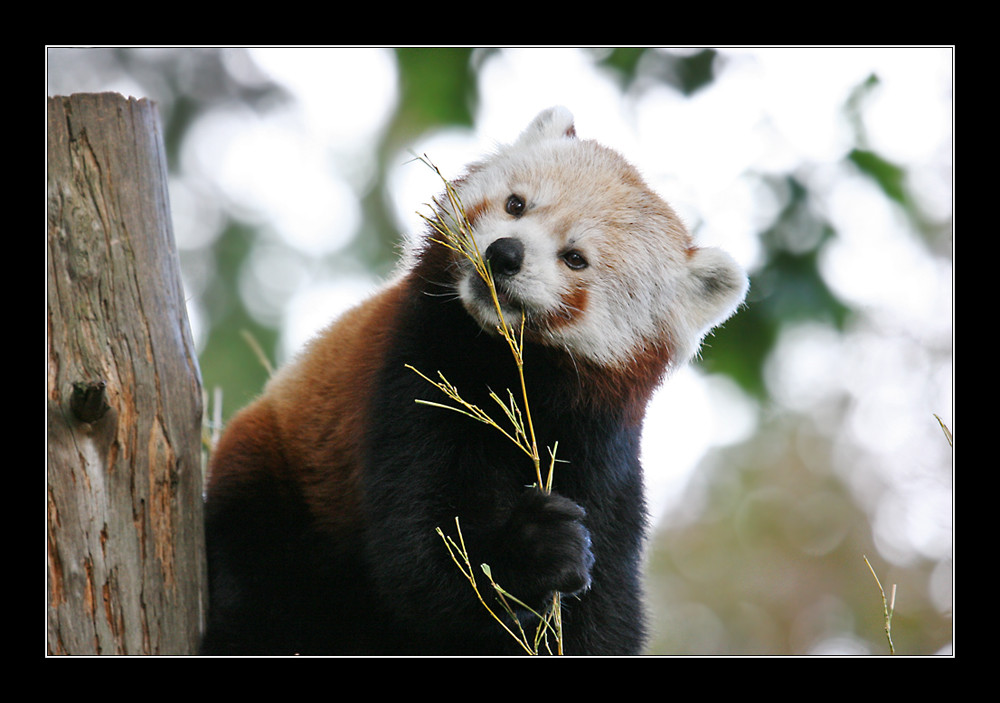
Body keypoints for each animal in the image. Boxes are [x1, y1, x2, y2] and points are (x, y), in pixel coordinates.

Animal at [201, 107, 752, 656]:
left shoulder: (599, 454)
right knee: (260, 579)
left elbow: (606, 609)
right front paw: (535, 550)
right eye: (516, 204)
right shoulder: (414, 376)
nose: (505, 253)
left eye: (575, 258)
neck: (505, 367)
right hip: (276, 481)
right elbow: (423, 555)